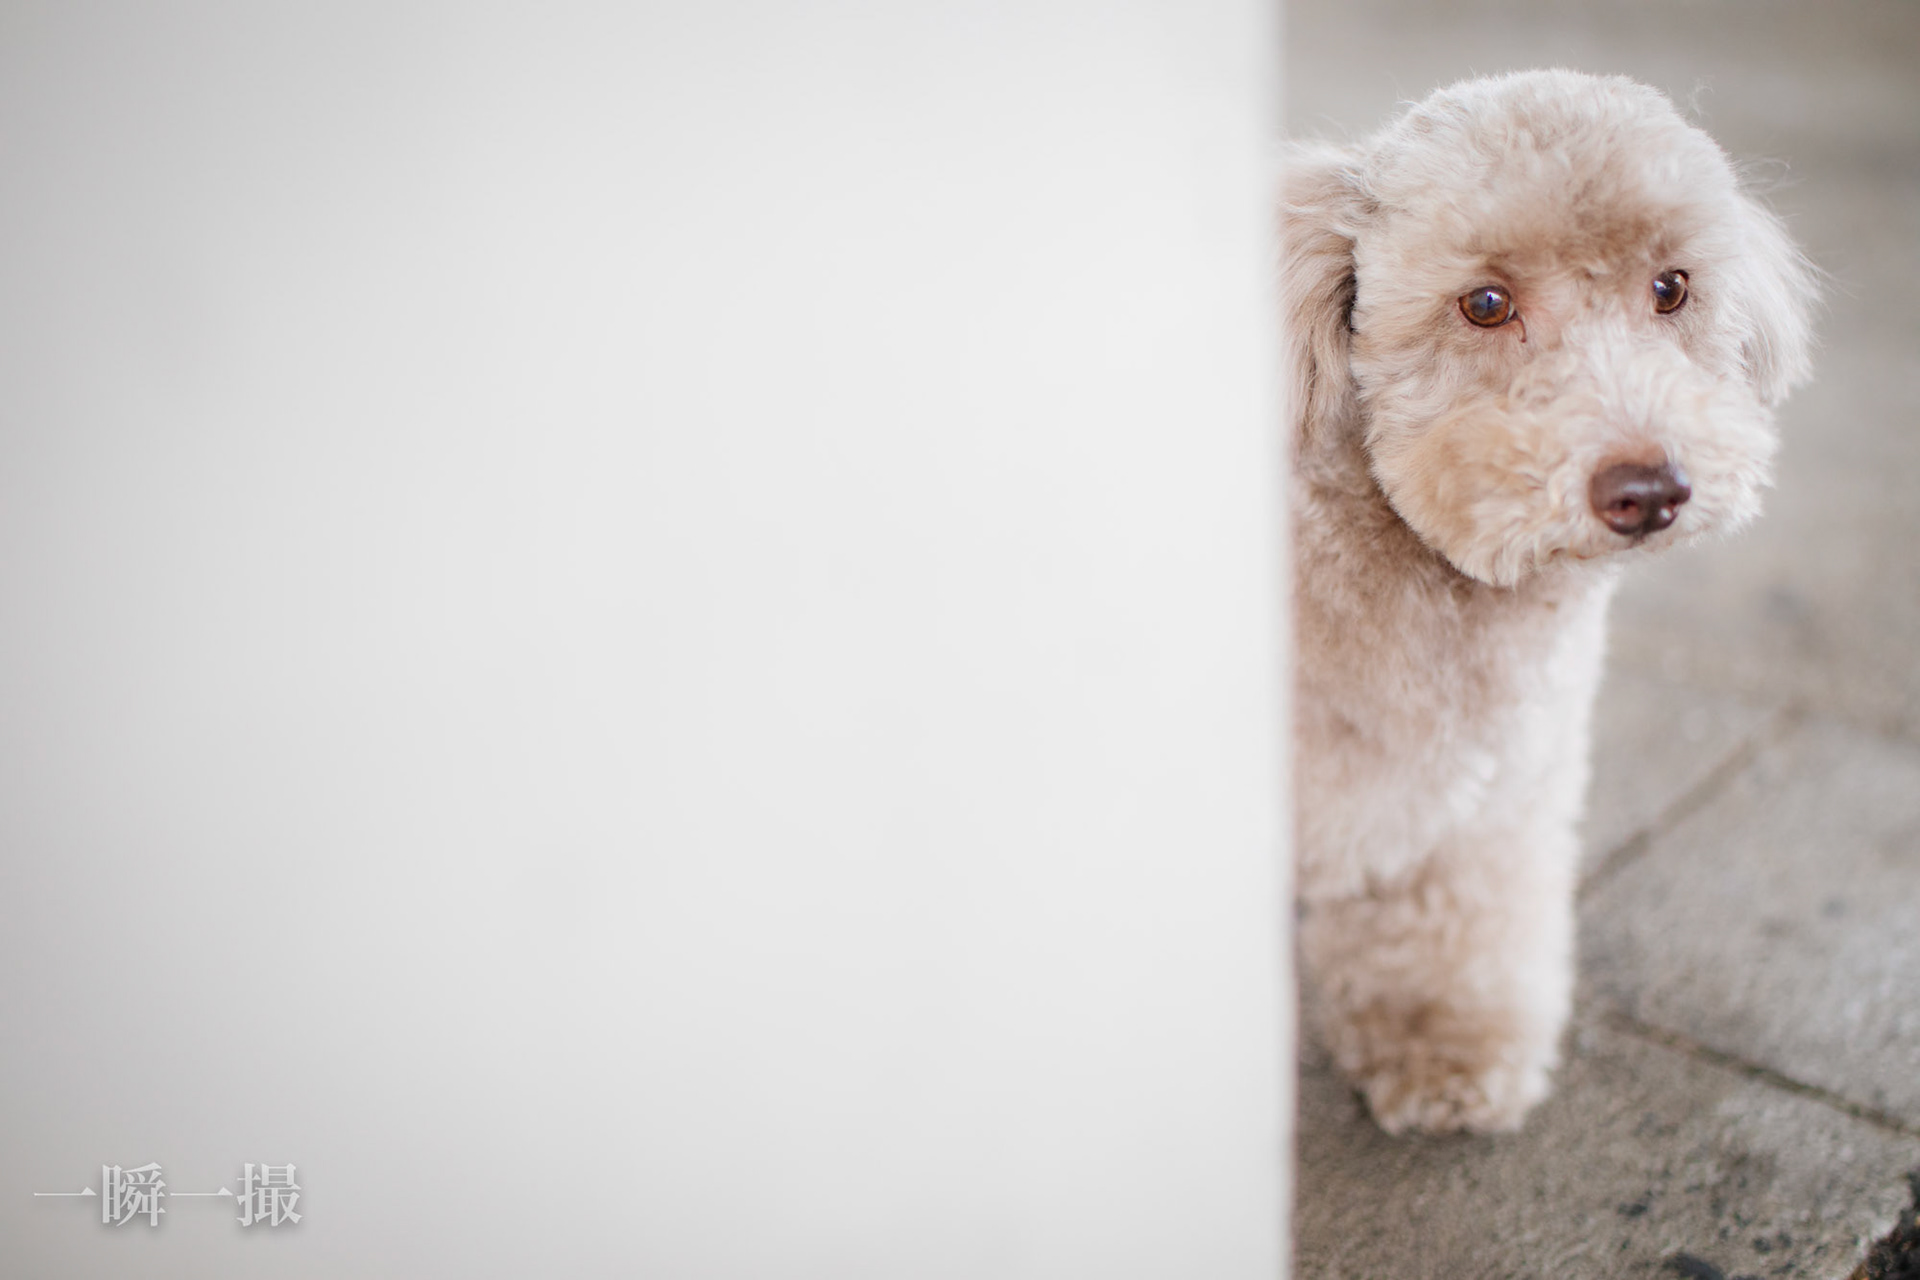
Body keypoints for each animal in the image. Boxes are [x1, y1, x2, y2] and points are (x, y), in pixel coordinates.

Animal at [1284, 69, 1815, 1134]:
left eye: (1672, 288)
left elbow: (1454, 928)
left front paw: (1444, 1050)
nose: (1648, 490)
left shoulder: (1485, 802)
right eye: (1485, 303)